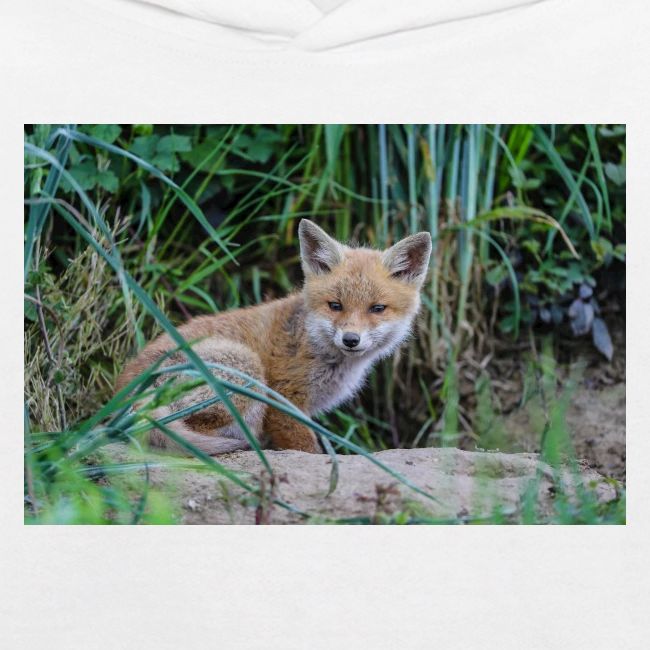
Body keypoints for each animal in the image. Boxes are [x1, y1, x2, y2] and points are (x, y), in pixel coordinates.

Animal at [116, 219, 432, 455]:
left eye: (377, 309)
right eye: (335, 305)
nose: (351, 339)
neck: (313, 343)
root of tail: (124, 395)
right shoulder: (283, 401)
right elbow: (307, 448)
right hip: (246, 369)